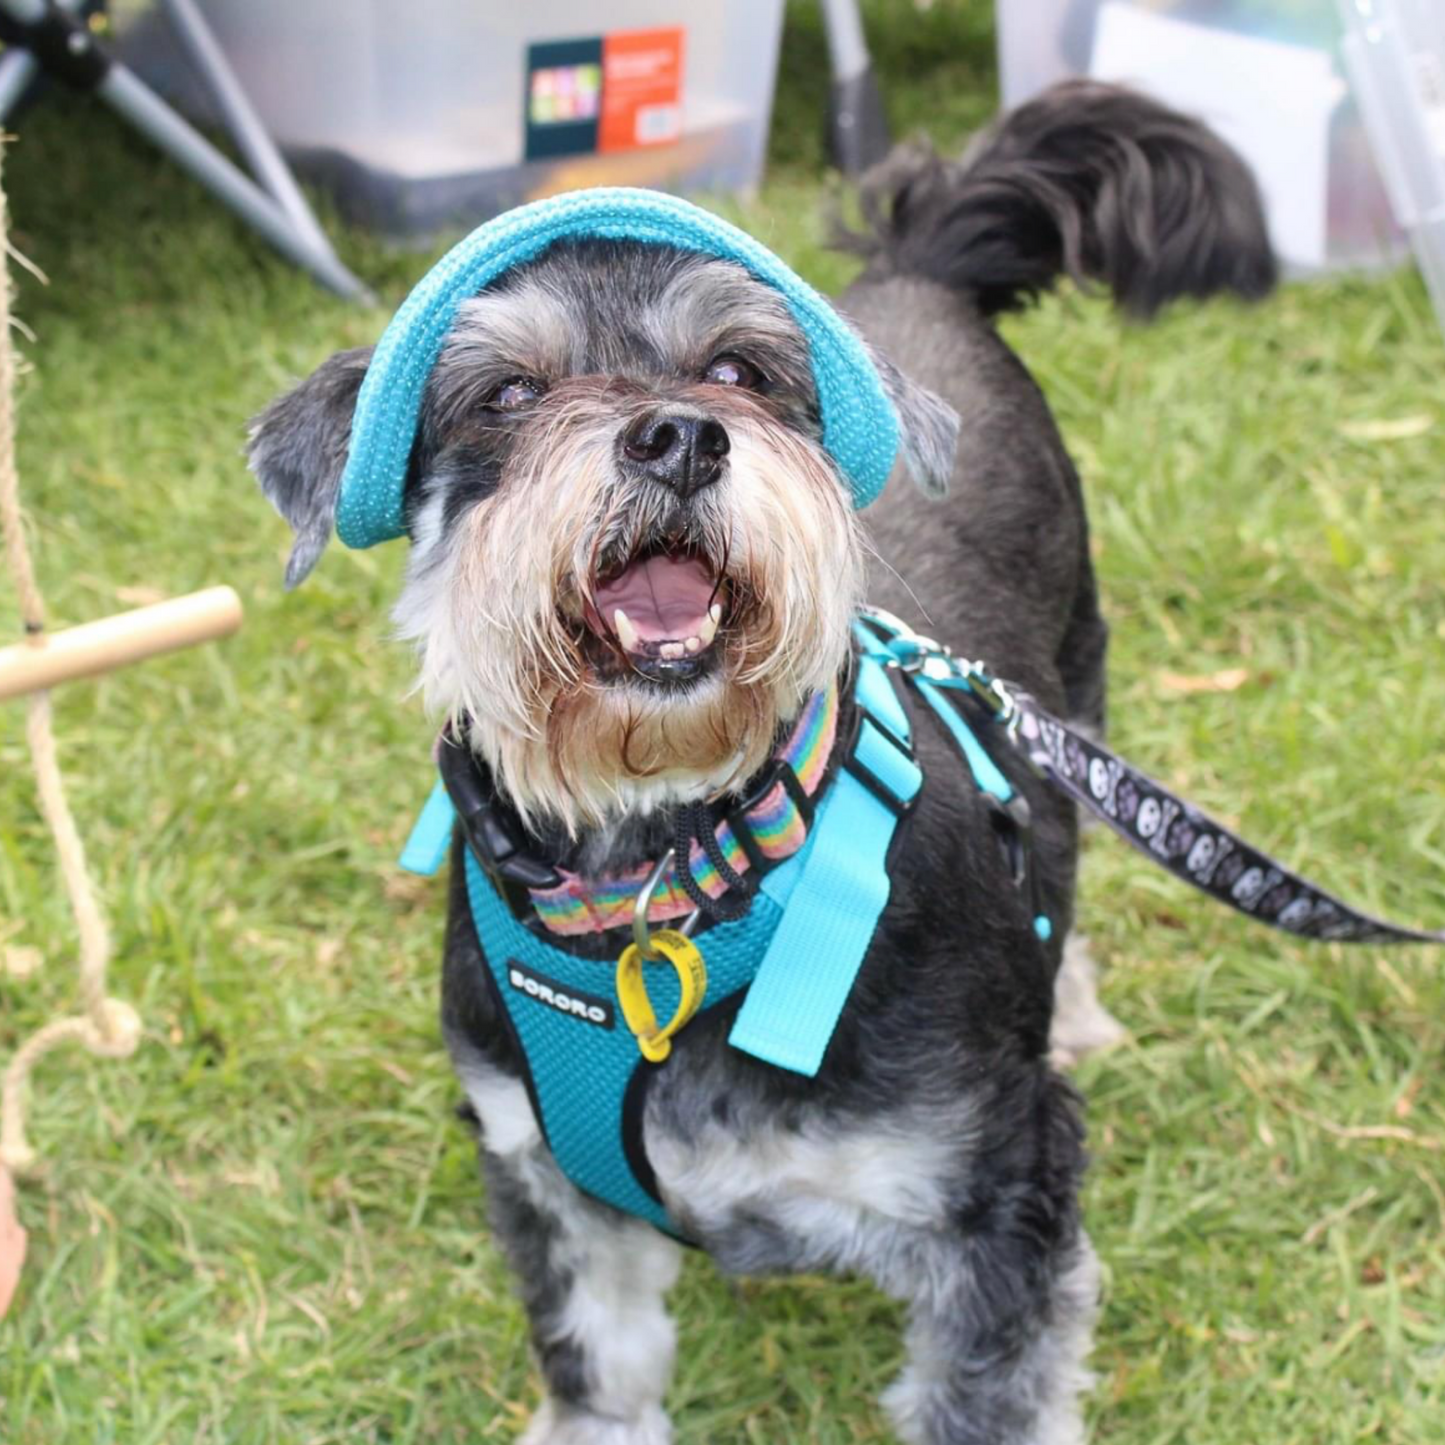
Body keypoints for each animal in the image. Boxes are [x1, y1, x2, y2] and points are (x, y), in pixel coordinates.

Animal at [251, 84, 1277, 1445]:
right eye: (507, 393)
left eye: (737, 370)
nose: (679, 436)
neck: (678, 864)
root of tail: (921, 264)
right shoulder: (543, 1176)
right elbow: (597, 1357)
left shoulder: (995, 1199)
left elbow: (988, 1390)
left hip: (1073, 695)